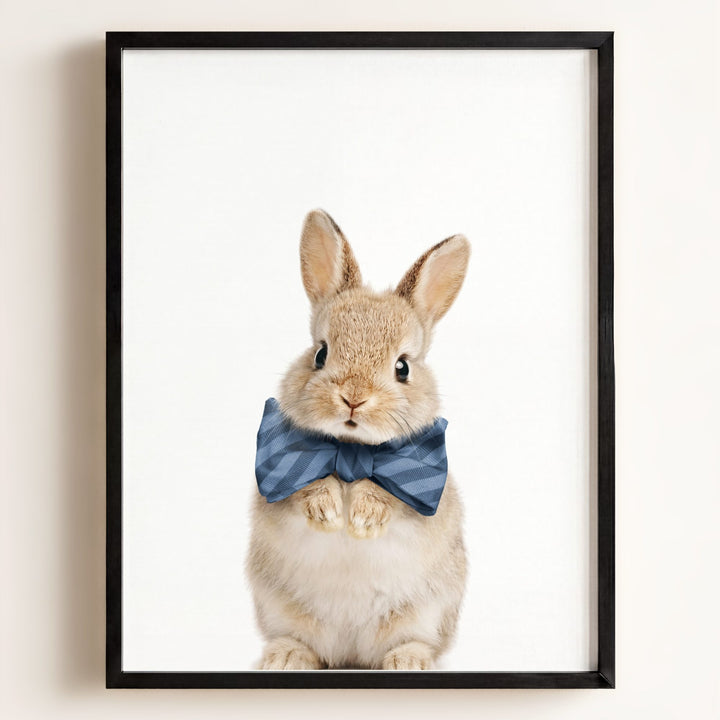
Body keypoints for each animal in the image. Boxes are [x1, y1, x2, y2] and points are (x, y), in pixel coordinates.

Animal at [246, 209, 470, 670]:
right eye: (320, 354)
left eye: (403, 367)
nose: (353, 397)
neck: (350, 451)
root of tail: (350, 654)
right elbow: (305, 486)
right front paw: (329, 513)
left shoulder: (423, 491)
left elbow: (392, 498)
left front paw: (363, 519)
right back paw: (285, 657)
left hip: (426, 613)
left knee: (413, 642)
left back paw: (409, 661)